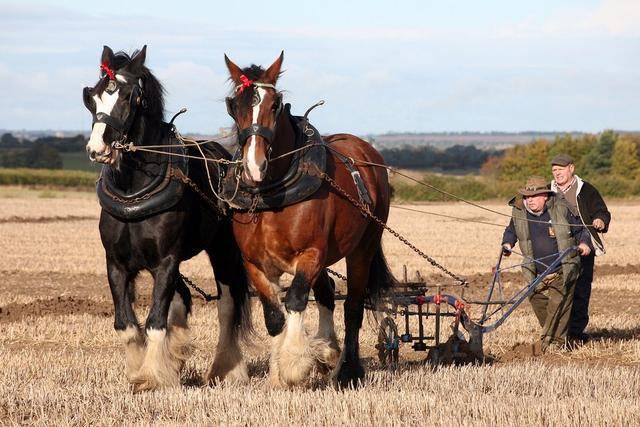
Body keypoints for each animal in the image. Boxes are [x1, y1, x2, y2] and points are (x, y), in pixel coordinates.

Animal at [80, 46, 250, 392]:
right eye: (91, 97)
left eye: (128, 96)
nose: (97, 148)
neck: (134, 188)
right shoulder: (116, 263)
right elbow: (127, 323)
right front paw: (141, 371)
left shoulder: (166, 260)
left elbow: (156, 320)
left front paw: (151, 376)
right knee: (183, 297)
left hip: (223, 251)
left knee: (227, 305)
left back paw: (226, 369)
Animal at [225, 52, 396, 388]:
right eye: (234, 106)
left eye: (275, 104)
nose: (254, 166)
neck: (273, 193)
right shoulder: (254, 262)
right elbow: (274, 315)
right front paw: (277, 375)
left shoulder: (311, 254)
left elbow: (295, 299)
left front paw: (294, 364)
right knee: (327, 290)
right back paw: (329, 350)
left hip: (363, 247)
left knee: (353, 306)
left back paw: (349, 370)